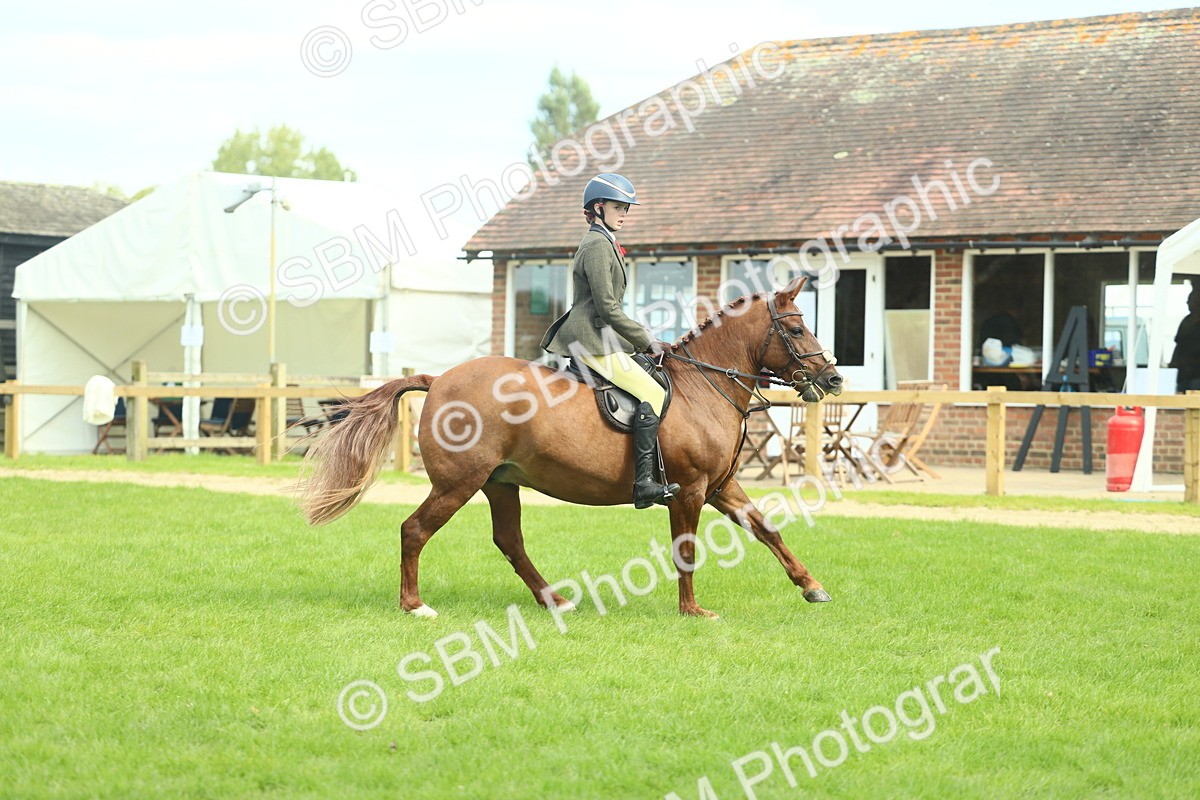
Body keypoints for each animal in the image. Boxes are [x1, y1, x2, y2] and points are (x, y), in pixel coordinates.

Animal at [299, 276, 844, 618]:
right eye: (797, 328)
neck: (704, 385)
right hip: (458, 483)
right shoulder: (690, 490)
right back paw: (415, 606)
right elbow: (685, 550)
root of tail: (438, 381)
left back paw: (554, 601)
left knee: (510, 542)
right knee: (414, 531)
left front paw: (812, 587)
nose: (833, 378)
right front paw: (692, 611)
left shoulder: (721, 487)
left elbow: (768, 530)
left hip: (499, 482)